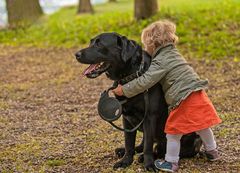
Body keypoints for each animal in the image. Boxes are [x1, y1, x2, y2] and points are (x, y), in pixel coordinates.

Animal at [75, 32, 202, 172]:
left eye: (99, 44)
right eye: (91, 42)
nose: (76, 54)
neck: (130, 76)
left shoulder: (149, 117)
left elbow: (148, 146)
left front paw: (149, 164)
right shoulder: (126, 117)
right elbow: (129, 143)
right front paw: (125, 161)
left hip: (189, 139)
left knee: (162, 149)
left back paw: (147, 156)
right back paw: (125, 151)